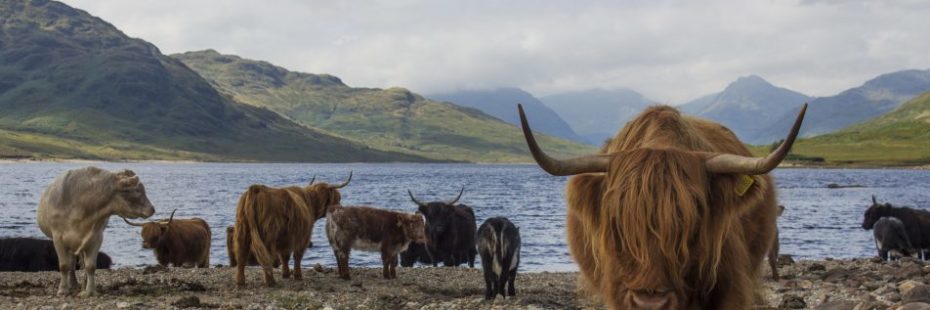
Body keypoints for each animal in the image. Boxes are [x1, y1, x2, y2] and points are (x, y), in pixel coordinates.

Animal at [37, 167, 155, 296]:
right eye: (137, 190)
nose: (152, 209)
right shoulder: (58, 238)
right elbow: (64, 265)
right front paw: (63, 290)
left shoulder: (96, 238)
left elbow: (90, 266)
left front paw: (90, 291)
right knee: (71, 263)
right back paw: (72, 284)